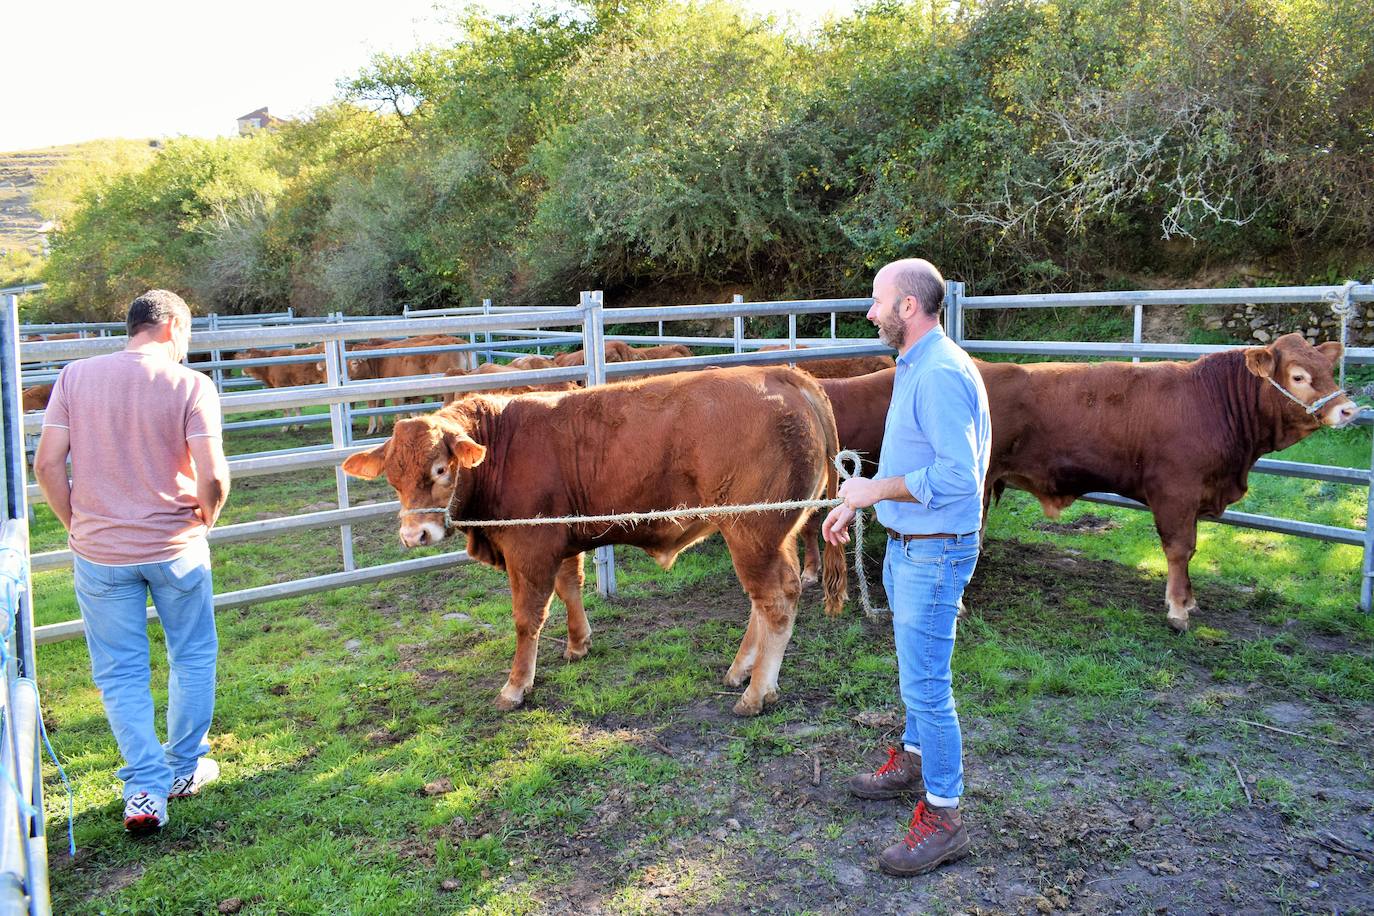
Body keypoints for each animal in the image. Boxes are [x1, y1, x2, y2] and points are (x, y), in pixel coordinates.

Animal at [340, 365, 846, 714]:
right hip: (772, 534)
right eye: (392, 478)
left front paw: (516, 686)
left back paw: (757, 692)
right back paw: (741, 671)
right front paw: (578, 644)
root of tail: (782, 374)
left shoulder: (529, 549)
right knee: (768, 599)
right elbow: (570, 587)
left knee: (775, 601)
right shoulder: (561, 542)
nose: (415, 534)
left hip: (753, 531)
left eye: (441, 469)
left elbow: (527, 618)